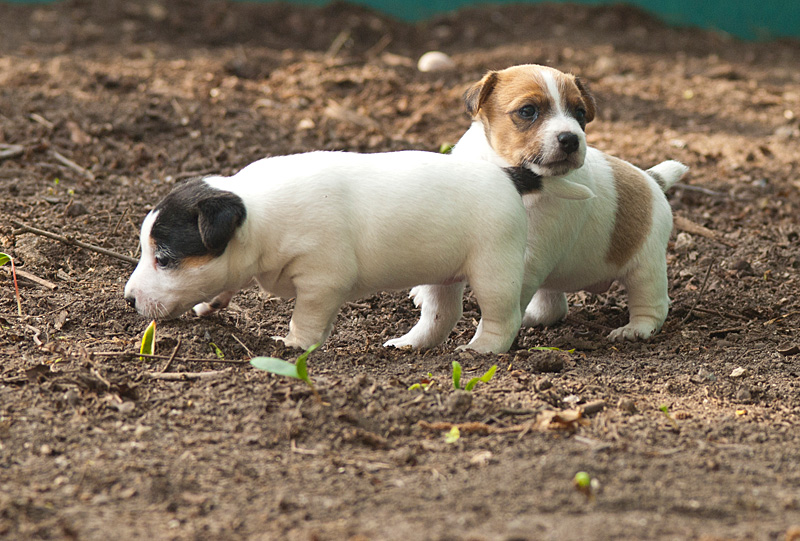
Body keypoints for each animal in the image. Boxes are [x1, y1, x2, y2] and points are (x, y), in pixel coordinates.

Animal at [123, 151, 556, 354]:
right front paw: (211, 304)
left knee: (502, 316)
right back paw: (408, 345)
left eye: (164, 259)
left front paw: (293, 345)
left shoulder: (321, 281)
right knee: (442, 315)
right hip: (443, 276)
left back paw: (482, 349)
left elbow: (307, 318)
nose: (127, 300)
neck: (258, 212)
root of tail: (507, 175)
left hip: (493, 270)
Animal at [388, 64, 688, 346]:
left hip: (645, 267)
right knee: (551, 308)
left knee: (652, 305)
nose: (571, 139)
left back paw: (634, 330)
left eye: (580, 113)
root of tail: (652, 179)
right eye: (528, 111)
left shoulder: (529, 257)